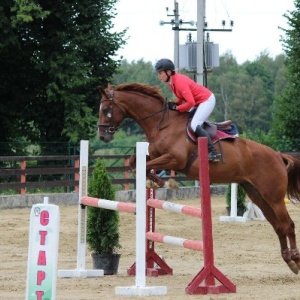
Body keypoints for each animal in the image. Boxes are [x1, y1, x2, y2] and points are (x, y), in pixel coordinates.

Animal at [98, 82, 300, 274]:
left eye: (106, 109)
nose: (103, 136)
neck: (161, 124)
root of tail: (277, 155)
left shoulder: (175, 159)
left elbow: (146, 166)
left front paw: (165, 182)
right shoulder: (155, 155)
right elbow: (135, 162)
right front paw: (156, 181)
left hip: (274, 198)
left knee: (288, 225)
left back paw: (296, 259)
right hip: (257, 195)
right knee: (278, 226)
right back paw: (289, 261)